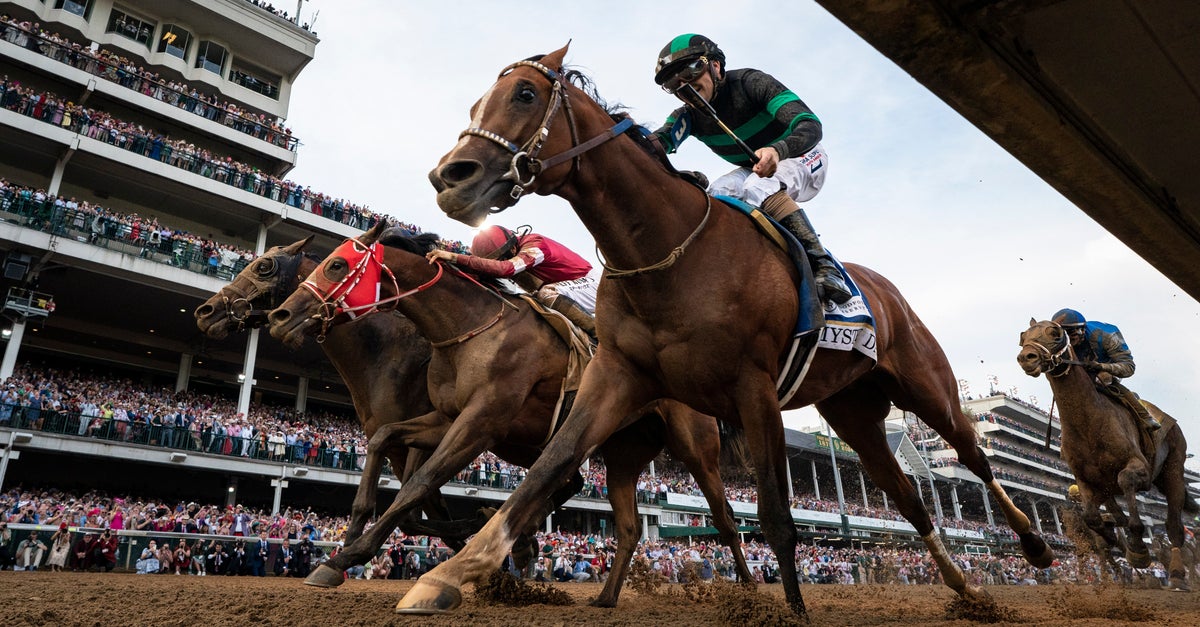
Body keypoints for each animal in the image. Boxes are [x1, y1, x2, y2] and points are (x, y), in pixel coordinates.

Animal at [194, 237, 483, 554]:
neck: (384, 353)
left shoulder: (432, 437)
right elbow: (416, 516)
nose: (206, 311)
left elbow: (413, 509)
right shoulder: (397, 447)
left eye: (263, 266)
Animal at [265, 222, 753, 605]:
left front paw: (349, 555)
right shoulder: (446, 418)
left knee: (727, 520)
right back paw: (602, 596)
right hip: (621, 451)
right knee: (628, 526)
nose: (279, 316)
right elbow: (385, 438)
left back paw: (749, 590)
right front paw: (345, 546)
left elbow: (421, 482)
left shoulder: (481, 422)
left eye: (337, 265)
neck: (467, 328)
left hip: (695, 447)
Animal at [408, 44, 1053, 617]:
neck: (668, 248)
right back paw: (966, 589)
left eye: (524, 93)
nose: (449, 177)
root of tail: (886, 291)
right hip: (853, 412)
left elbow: (774, 515)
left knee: (975, 460)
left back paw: (1036, 545)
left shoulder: (754, 386)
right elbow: (549, 466)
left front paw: (790, 610)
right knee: (909, 498)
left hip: (927, 389)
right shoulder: (616, 374)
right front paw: (448, 575)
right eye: (476, 103)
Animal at [1018, 318, 1194, 591]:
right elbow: (1092, 517)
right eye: (1023, 336)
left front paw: (1137, 548)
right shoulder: (1087, 481)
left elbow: (1127, 488)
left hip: (1173, 468)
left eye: (1055, 332)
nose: (1027, 357)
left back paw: (1175, 574)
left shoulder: (1139, 468)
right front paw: (1113, 538)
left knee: (1173, 524)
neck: (1089, 422)